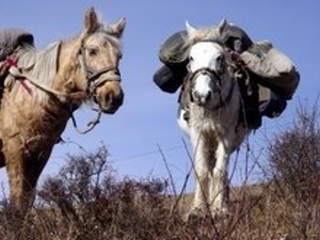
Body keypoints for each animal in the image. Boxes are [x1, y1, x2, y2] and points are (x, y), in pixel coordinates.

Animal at [0, 7, 126, 218]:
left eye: (119, 56)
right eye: (92, 51)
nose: (114, 97)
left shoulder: (40, 155)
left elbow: (27, 203)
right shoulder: (14, 151)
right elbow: (17, 205)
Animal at [178, 20, 250, 219]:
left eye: (219, 57)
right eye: (191, 58)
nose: (202, 95)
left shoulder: (226, 136)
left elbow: (219, 172)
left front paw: (220, 210)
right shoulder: (198, 134)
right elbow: (202, 170)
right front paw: (197, 211)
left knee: (221, 171)